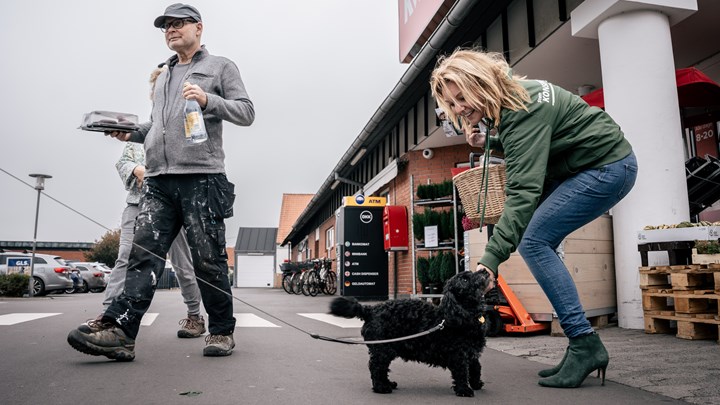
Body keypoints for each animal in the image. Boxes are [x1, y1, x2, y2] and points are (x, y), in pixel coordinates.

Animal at [330, 270, 490, 396]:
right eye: (464, 280)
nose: (484, 271)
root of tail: (370, 310)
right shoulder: (458, 354)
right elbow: (462, 372)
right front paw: (464, 390)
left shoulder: (472, 352)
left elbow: (476, 368)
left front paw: (476, 383)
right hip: (382, 350)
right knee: (376, 368)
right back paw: (382, 388)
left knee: (381, 368)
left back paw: (388, 383)